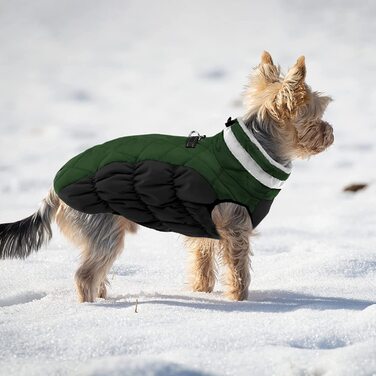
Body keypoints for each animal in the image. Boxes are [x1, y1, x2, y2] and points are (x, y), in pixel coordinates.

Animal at [0, 50, 334, 302]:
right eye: (318, 117)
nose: (330, 133)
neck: (254, 150)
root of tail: (53, 190)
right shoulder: (235, 227)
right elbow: (239, 269)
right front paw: (240, 300)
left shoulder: (205, 230)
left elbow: (202, 264)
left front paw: (202, 292)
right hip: (103, 227)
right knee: (85, 274)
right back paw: (93, 309)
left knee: (96, 271)